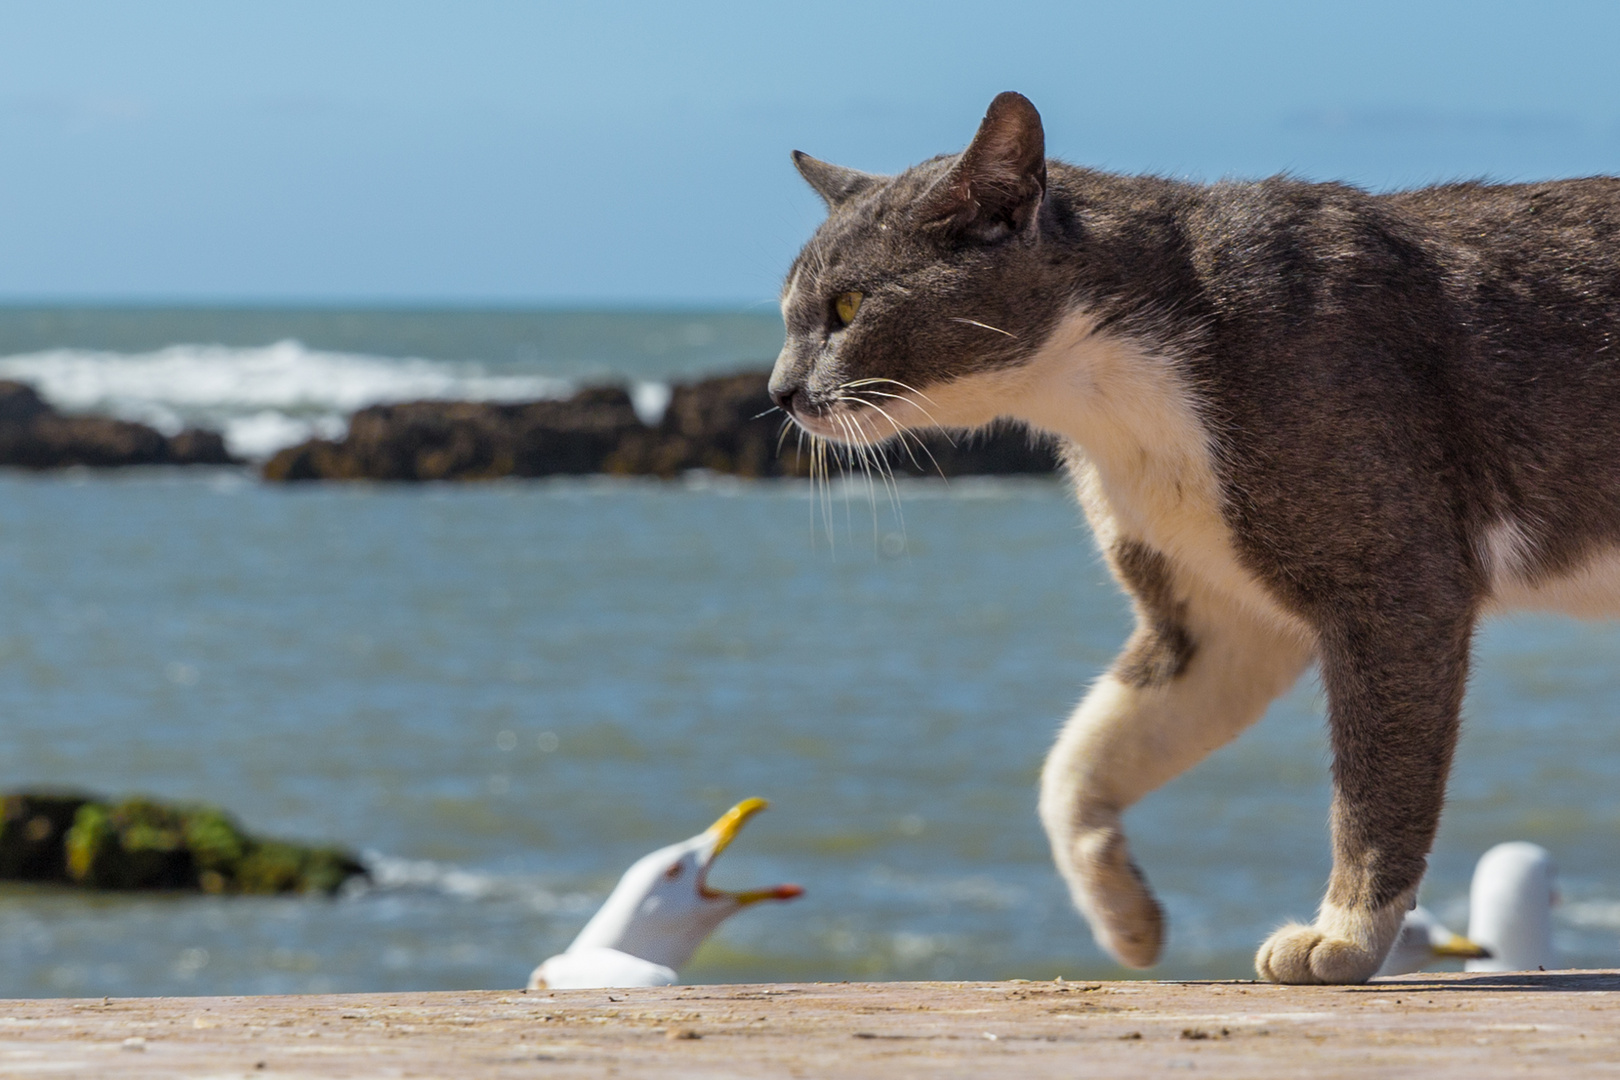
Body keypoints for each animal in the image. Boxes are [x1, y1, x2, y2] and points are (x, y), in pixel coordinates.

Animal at [767, 95, 1620, 990]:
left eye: (848, 307)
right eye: (788, 314)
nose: (779, 391)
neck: (1112, 397)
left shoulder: (1397, 583)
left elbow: (1376, 784)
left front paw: (1345, 935)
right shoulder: (1216, 617)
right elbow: (1074, 764)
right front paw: (1124, 915)